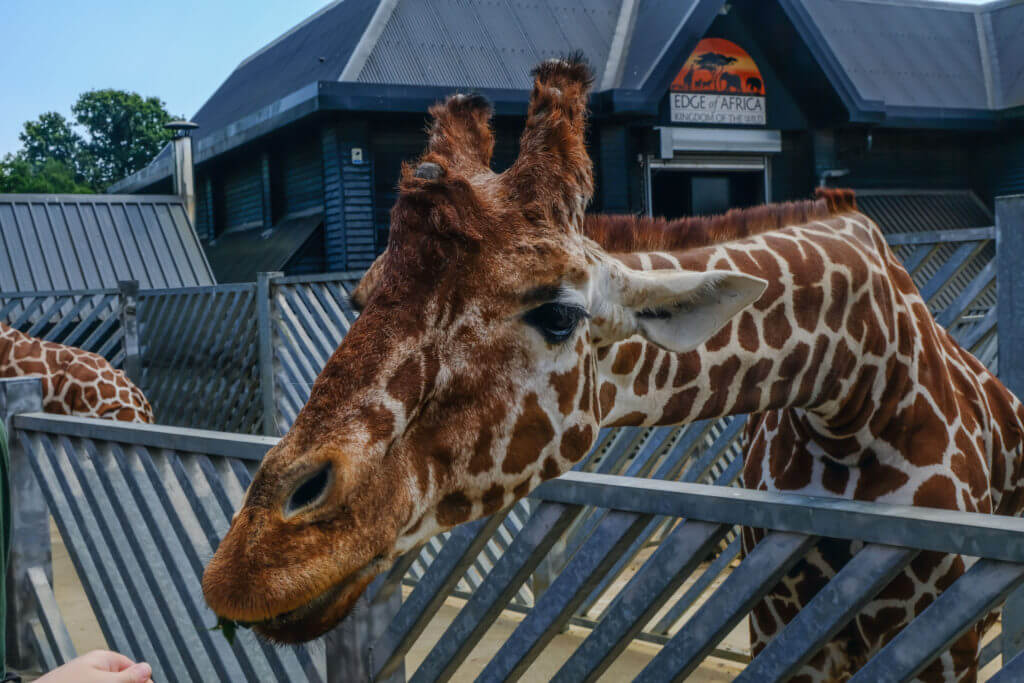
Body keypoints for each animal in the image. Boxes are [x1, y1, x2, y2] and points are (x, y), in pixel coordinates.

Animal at [201, 58, 1024, 683]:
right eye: (360, 297)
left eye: (558, 315)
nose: (255, 561)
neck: (859, 390)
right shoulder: (780, 620)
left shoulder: (945, 638)